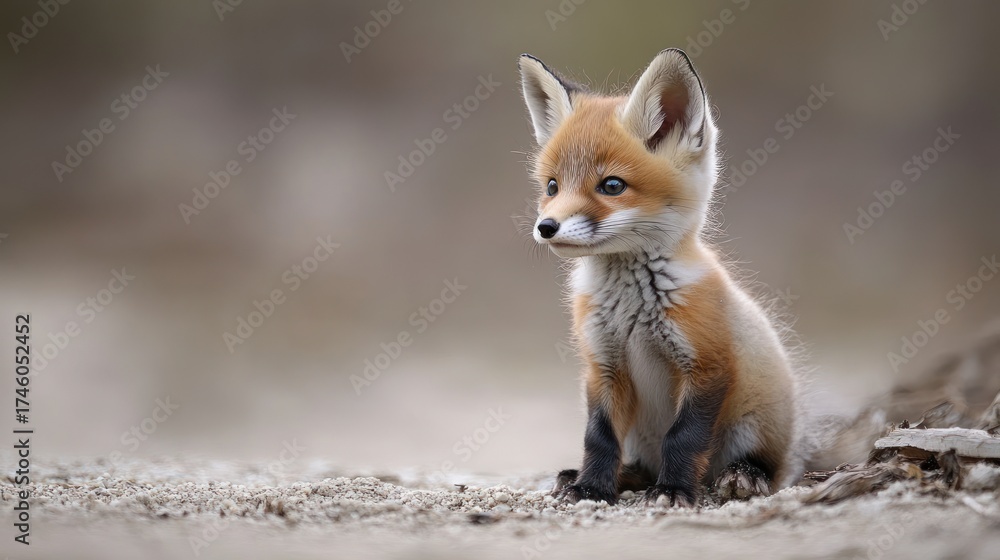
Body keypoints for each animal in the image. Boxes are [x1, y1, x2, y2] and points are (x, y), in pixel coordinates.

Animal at [518, 49, 813, 507]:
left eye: (612, 185)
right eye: (552, 186)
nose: (546, 227)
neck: (632, 310)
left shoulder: (707, 365)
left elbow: (685, 437)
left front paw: (673, 489)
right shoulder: (603, 365)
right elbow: (598, 438)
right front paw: (592, 487)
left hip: (755, 419)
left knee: (763, 466)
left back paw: (742, 475)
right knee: (637, 464)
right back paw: (604, 477)